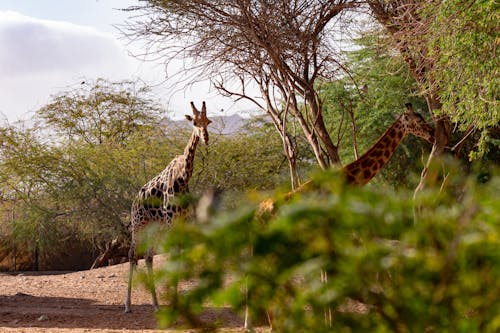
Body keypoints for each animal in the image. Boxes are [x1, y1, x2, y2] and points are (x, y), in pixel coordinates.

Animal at [125, 100, 213, 312]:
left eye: (208, 121)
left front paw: (176, 302)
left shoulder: (184, 221)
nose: (205, 138)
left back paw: (156, 304)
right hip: (138, 224)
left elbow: (180, 256)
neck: (182, 177)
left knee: (148, 256)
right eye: (194, 122)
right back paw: (128, 305)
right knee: (132, 254)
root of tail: (134, 201)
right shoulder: (172, 222)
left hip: (155, 226)